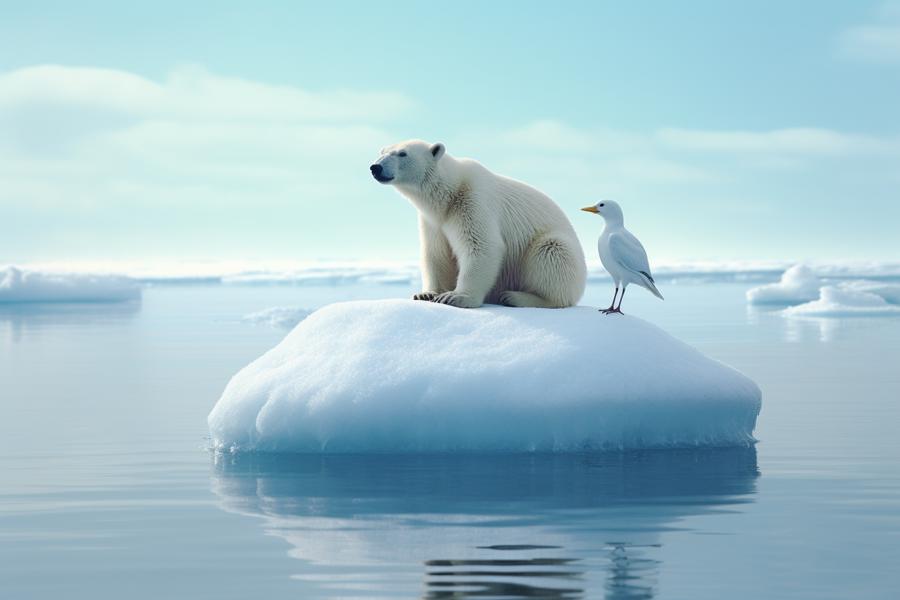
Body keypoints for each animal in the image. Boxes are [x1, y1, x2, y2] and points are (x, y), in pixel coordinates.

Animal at [370, 141, 588, 310]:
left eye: (402, 153)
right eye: (382, 152)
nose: (375, 167)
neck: (449, 193)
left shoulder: (473, 201)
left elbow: (481, 246)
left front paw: (456, 297)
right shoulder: (433, 221)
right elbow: (436, 253)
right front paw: (426, 294)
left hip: (554, 249)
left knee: (552, 252)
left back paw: (516, 297)